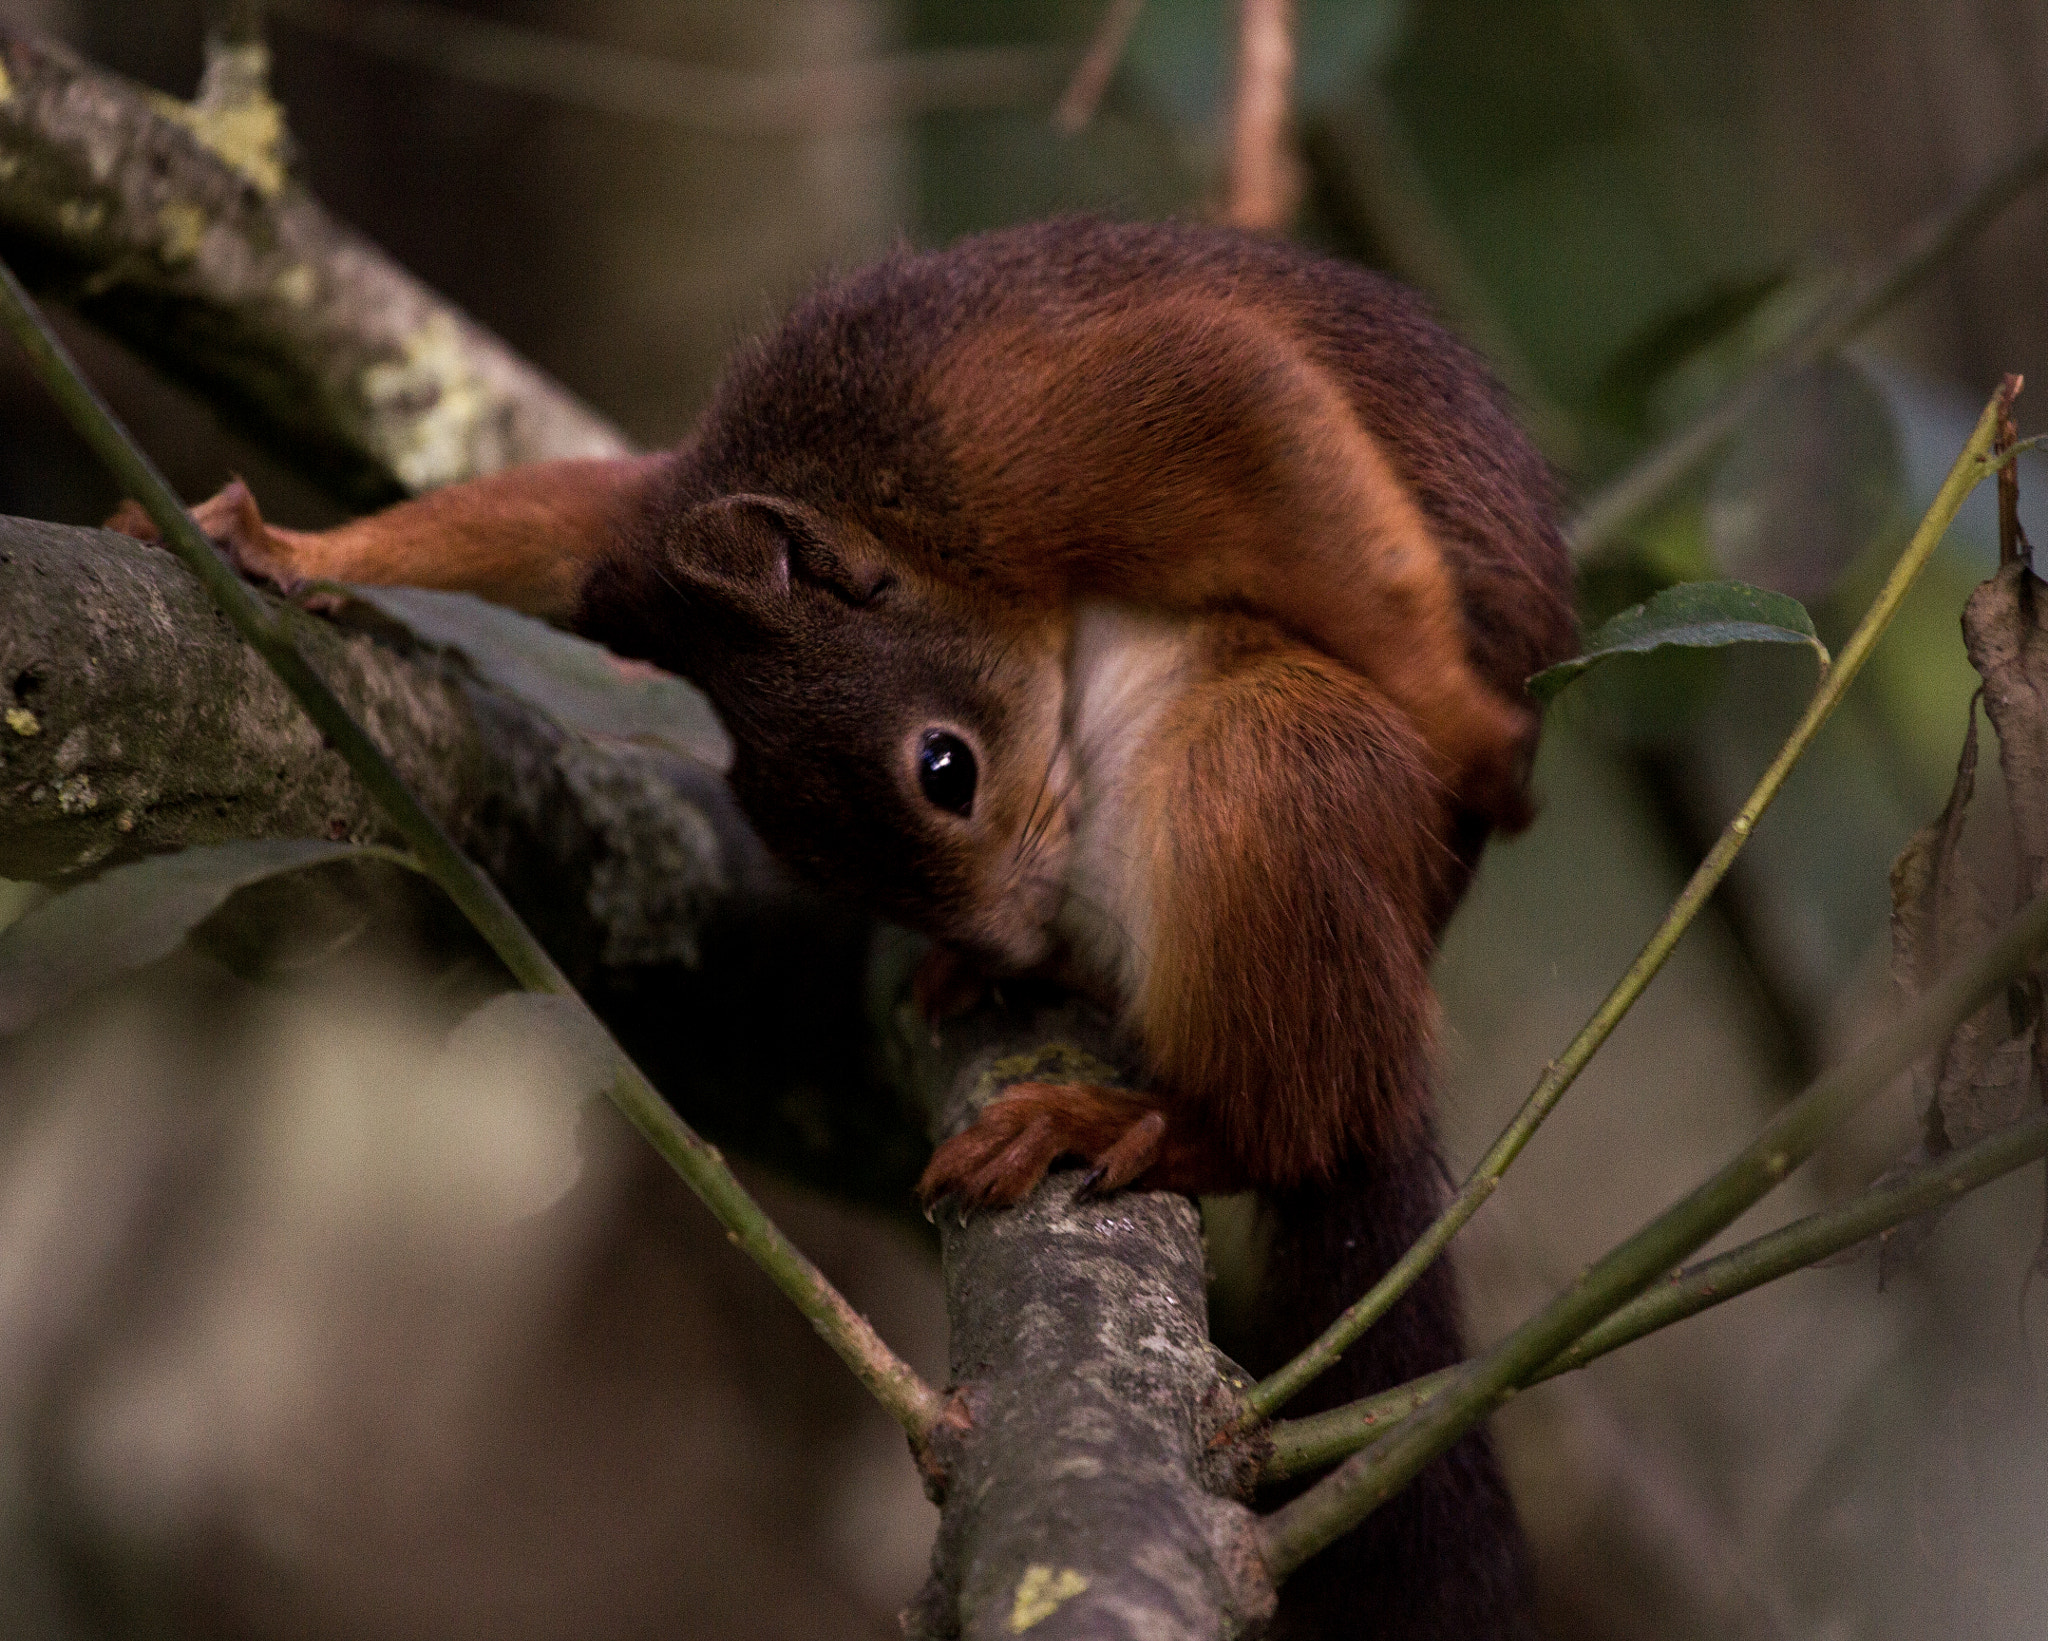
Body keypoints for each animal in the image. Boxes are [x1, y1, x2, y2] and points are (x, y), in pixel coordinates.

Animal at [119, 221, 1572, 1638]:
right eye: (798, 848)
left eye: (945, 769)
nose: (1011, 938)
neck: (876, 495)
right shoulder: (644, 522)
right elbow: (520, 516)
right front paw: (282, 550)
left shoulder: (1069, 436)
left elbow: (1261, 412)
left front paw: (1469, 720)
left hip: (1274, 773)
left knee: (1299, 1119)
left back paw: (1134, 1117)